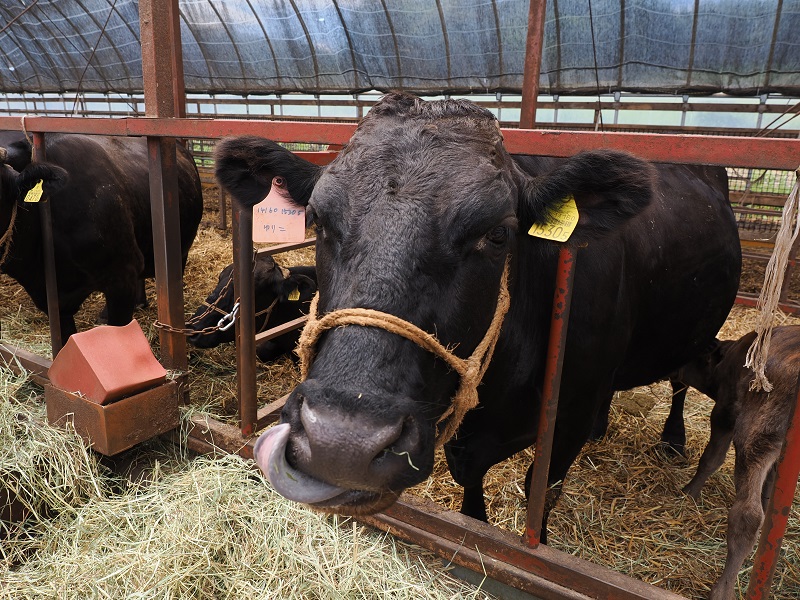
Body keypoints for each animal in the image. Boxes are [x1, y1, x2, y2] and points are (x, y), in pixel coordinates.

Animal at [217, 92, 736, 540]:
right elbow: (471, 490)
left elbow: (540, 491)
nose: (342, 444)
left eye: (498, 234)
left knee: (680, 379)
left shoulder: (567, 417)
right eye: (319, 220)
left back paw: (672, 439)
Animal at [676, 326, 800, 600]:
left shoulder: (724, 411)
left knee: (747, 515)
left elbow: (711, 459)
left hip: (755, 435)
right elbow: (771, 487)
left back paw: (722, 590)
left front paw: (689, 492)